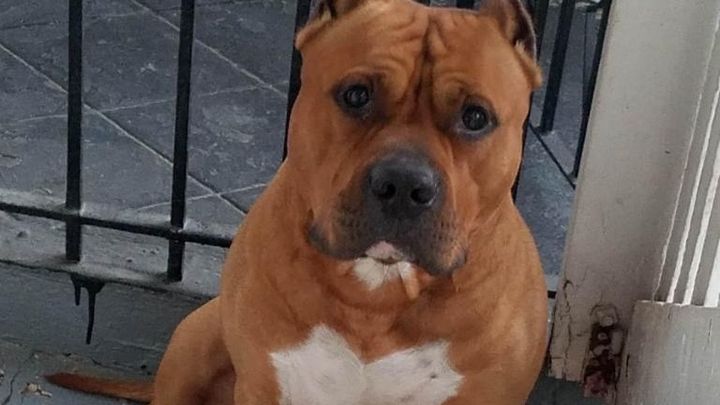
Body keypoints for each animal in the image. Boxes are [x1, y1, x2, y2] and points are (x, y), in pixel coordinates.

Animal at [48, 0, 547, 403]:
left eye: (476, 117)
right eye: (356, 95)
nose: (403, 185)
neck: (376, 295)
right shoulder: (262, 383)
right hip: (197, 337)